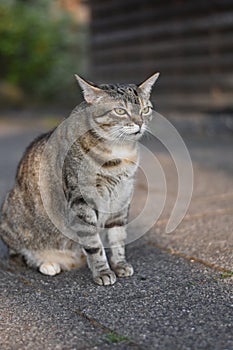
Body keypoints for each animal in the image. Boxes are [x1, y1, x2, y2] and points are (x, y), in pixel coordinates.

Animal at [0, 73, 159, 284]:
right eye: (120, 111)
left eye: (145, 109)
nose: (140, 123)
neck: (119, 152)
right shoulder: (81, 201)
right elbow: (93, 243)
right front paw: (102, 271)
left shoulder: (121, 199)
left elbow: (118, 237)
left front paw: (119, 264)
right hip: (11, 216)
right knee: (20, 255)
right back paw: (47, 263)